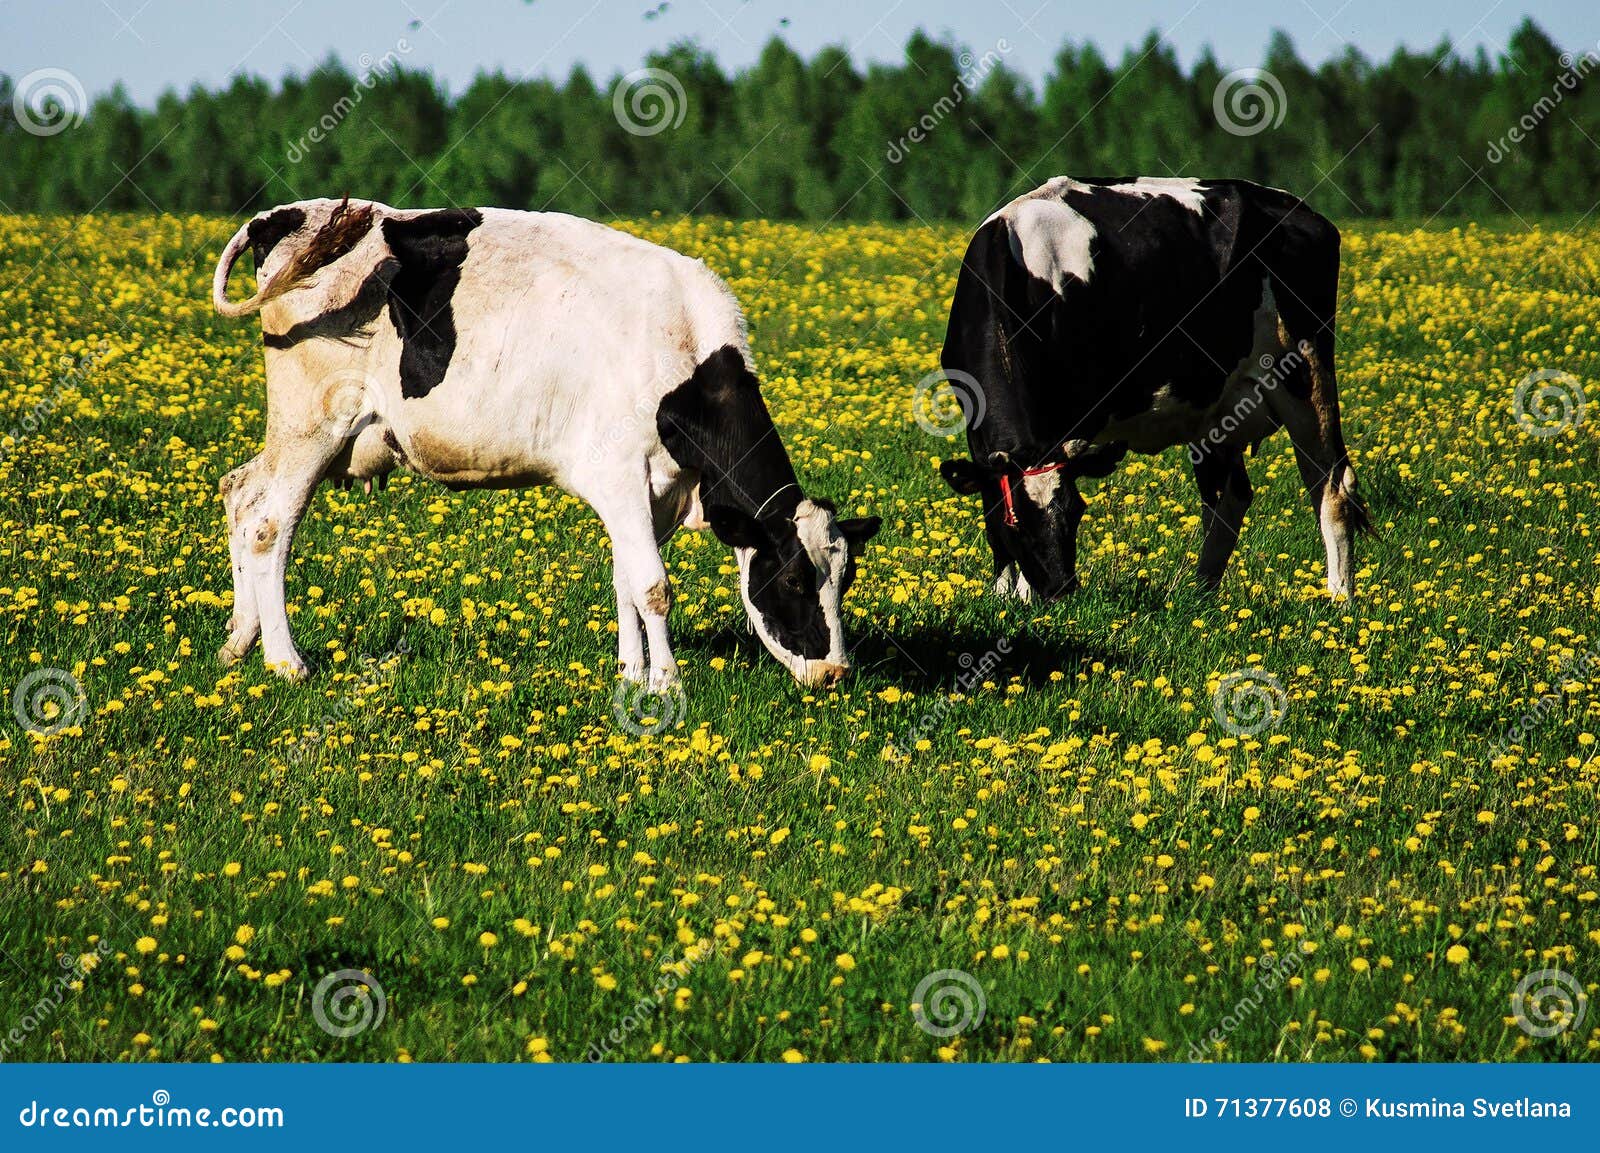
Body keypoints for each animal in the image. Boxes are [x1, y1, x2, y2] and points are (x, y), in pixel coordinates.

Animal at [211, 198, 879, 691]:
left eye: (845, 579)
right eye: (794, 580)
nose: (836, 673)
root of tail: (284, 216)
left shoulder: (650, 494)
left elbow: (625, 578)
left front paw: (630, 671)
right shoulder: (620, 474)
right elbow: (654, 587)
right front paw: (664, 683)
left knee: (240, 492)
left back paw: (238, 642)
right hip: (313, 423)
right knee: (269, 523)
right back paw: (286, 661)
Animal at [937, 176, 1369, 603]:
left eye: (1077, 510)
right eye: (1017, 525)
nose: (1060, 590)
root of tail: (1300, 209)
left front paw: (1024, 599)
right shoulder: (977, 431)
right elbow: (991, 509)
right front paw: (1003, 597)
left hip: (1305, 372)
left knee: (1331, 488)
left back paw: (1339, 601)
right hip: (1219, 408)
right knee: (1230, 495)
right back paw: (1200, 595)